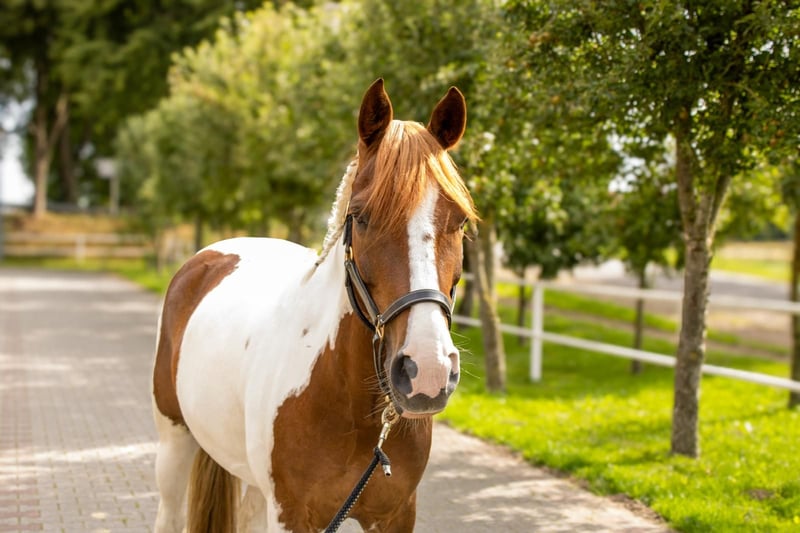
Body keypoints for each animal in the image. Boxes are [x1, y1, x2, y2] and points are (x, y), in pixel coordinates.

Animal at [151, 78, 478, 532]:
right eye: (361, 216)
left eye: (459, 220)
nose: (427, 371)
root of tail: (209, 257)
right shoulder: (291, 514)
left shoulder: (396, 515)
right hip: (174, 443)